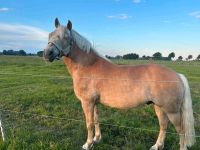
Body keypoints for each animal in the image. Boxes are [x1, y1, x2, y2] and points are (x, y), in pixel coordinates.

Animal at [43, 18, 195, 150]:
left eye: (65, 37)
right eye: (50, 34)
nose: (47, 53)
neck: (87, 66)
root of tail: (177, 75)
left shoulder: (87, 102)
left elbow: (89, 123)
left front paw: (87, 144)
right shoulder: (94, 103)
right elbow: (96, 119)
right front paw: (96, 139)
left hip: (172, 111)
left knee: (181, 130)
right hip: (159, 107)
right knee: (163, 126)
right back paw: (156, 146)